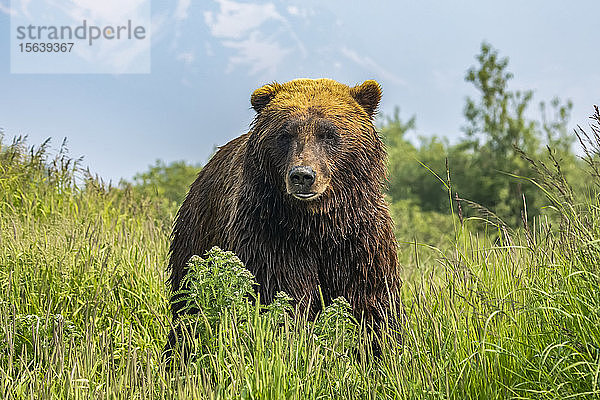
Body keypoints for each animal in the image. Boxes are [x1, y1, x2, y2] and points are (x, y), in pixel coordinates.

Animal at [166, 77, 400, 344]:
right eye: (285, 134)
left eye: (328, 134)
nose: (302, 175)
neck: (317, 224)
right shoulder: (272, 235)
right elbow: (281, 293)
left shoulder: (359, 239)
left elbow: (370, 301)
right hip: (197, 237)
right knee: (187, 303)